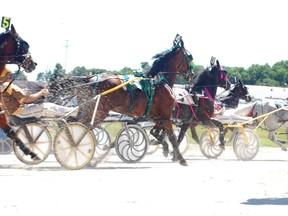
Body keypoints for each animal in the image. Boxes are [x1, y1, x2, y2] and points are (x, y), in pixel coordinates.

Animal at [46, 33, 195, 165]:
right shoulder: (166, 116)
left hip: (87, 109)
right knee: (83, 127)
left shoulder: (155, 117)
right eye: (189, 56)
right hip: (99, 111)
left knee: (71, 121)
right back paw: (76, 147)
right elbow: (171, 136)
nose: (192, 74)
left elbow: (155, 132)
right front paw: (181, 158)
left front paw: (163, 147)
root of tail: (91, 78)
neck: (161, 81)